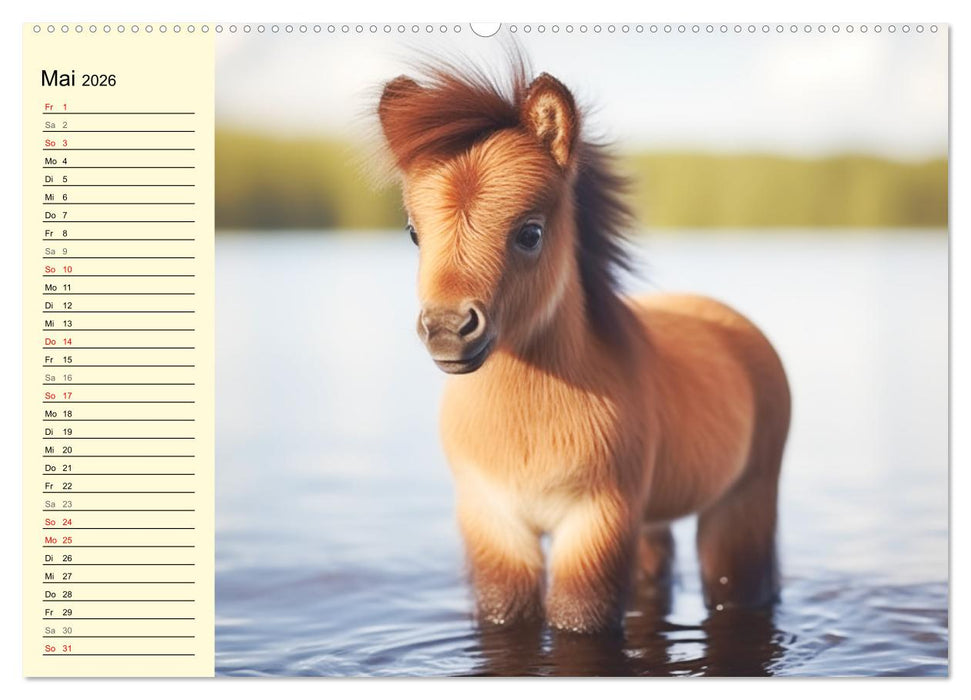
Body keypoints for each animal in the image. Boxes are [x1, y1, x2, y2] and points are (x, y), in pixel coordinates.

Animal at [376, 58, 791, 634]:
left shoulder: (596, 522)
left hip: (740, 507)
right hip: (651, 519)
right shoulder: (493, 523)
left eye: (530, 232)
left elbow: (580, 615)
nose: (448, 328)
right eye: (414, 232)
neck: (528, 427)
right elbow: (505, 609)